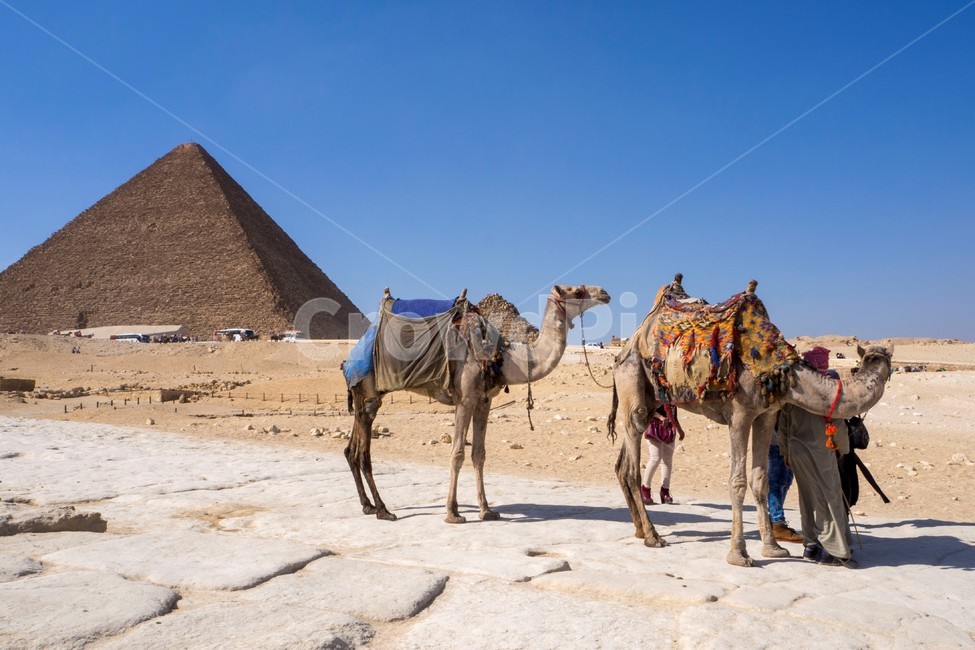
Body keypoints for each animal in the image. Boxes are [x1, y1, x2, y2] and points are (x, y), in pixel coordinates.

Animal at [346, 284, 611, 523]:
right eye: (576, 291)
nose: (604, 293)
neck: (504, 358)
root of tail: (348, 360)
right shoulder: (465, 400)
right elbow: (457, 453)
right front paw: (452, 513)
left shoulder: (484, 401)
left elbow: (479, 454)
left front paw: (486, 510)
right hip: (366, 391)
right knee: (363, 453)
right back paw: (383, 510)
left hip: (370, 398)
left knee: (352, 449)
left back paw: (368, 506)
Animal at [608, 275, 892, 566]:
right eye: (874, 358)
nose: (879, 357)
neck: (779, 368)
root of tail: (627, 346)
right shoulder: (740, 415)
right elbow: (738, 482)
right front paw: (739, 554)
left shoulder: (766, 415)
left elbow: (761, 480)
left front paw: (772, 547)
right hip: (632, 375)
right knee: (633, 463)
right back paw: (653, 536)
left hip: (652, 397)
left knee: (622, 463)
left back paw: (639, 529)